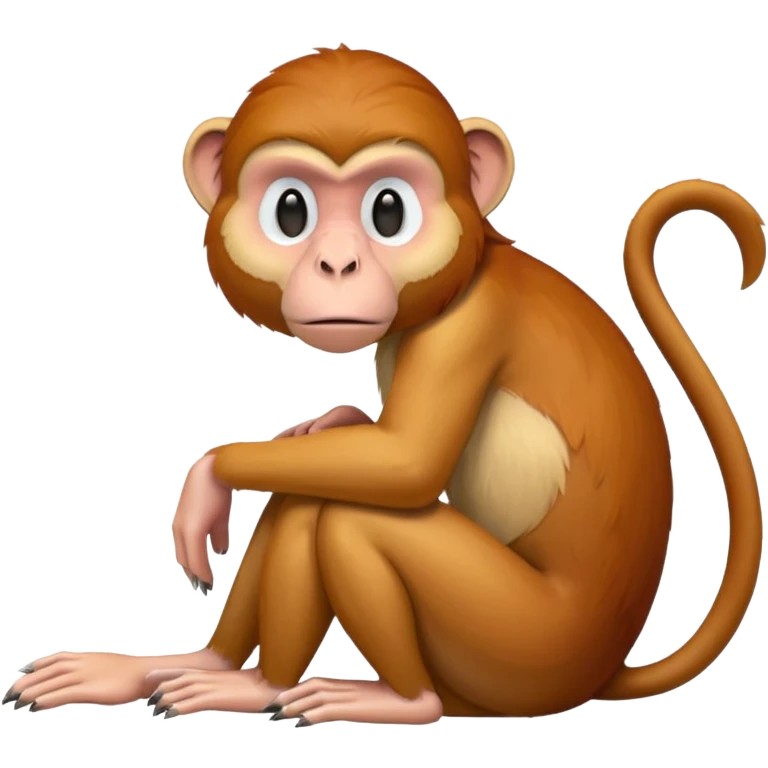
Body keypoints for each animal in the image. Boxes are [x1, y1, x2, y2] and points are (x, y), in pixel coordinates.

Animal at [6, 44, 763, 726]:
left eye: (389, 212)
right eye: (291, 211)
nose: (338, 264)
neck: (475, 262)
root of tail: (604, 668)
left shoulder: (469, 322)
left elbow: (404, 465)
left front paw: (209, 474)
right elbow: (352, 456)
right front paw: (326, 423)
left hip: (522, 646)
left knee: (352, 519)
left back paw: (383, 700)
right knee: (308, 498)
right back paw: (218, 670)